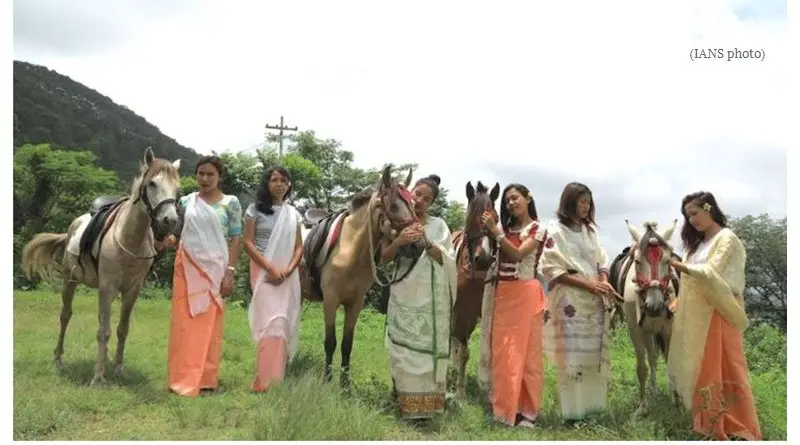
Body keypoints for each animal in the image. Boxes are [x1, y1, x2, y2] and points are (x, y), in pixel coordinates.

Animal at [21, 148, 181, 386]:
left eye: (178, 190)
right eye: (152, 183)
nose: (170, 220)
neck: (129, 238)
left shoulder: (132, 291)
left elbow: (122, 329)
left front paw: (118, 368)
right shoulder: (107, 287)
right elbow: (104, 331)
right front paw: (98, 376)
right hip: (70, 281)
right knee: (65, 316)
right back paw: (59, 359)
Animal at [302, 165, 428, 386]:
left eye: (413, 204)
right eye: (393, 206)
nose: (418, 245)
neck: (349, 251)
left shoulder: (356, 303)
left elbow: (347, 344)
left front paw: (344, 385)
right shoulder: (330, 301)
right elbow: (330, 342)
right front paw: (327, 380)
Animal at [612, 219, 680, 416]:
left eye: (668, 260)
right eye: (637, 261)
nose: (654, 307)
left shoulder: (668, 330)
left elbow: (671, 362)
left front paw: (677, 402)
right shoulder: (636, 331)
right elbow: (642, 368)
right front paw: (643, 406)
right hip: (648, 332)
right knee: (652, 358)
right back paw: (653, 389)